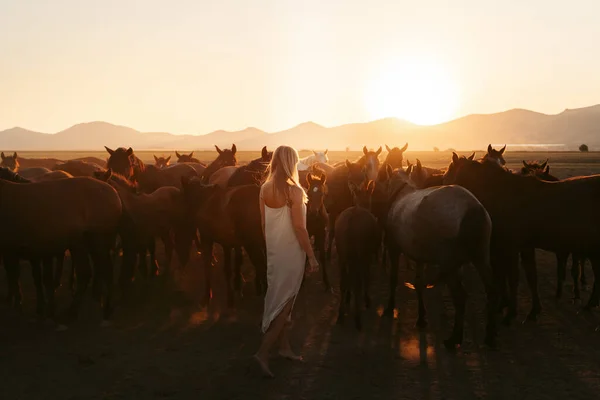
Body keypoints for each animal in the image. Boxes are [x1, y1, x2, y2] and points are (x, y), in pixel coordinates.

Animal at [179, 177, 266, 308]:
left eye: (184, 196)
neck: (204, 200)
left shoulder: (208, 239)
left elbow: (209, 266)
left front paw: (209, 296)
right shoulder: (229, 244)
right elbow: (232, 266)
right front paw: (235, 291)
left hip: (253, 244)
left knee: (262, 265)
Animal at [384, 165, 496, 346]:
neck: (401, 195)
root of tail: (472, 208)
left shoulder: (394, 249)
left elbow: (393, 278)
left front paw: (389, 307)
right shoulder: (419, 256)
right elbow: (418, 283)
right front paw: (421, 318)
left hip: (449, 264)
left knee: (460, 297)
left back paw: (454, 338)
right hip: (481, 258)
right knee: (491, 290)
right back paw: (490, 335)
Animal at [442, 153, 600, 324]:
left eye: (451, 168)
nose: (443, 183)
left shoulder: (511, 248)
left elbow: (512, 277)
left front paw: (511, 312)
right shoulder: (524, 247)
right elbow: (530, 277)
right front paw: (533, 310)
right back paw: (590, 303)